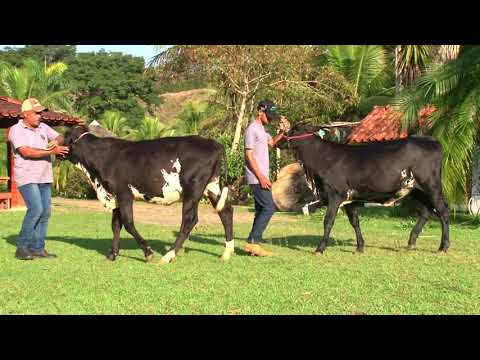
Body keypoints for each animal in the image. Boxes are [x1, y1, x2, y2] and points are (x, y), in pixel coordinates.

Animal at [62, 125, 235, 262]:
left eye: (64, 136)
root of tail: (214, 143)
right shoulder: (115, 196)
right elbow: (116, 225)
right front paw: (112, 255)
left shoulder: (124, 194)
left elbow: (128, 223)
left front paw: (148, 252)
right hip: (211, 186)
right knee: (226, 211)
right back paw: (226, 253)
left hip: (193, 189)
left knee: (189, 219)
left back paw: (168, 255)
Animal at [278, 122, 450, 255]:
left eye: (294, 130)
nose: (279, 142)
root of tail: (431, 140)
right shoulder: (350, 199)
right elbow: (355, 222)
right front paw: (360, 247)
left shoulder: (335, 194)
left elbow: (328, 221)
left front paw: (320, 248)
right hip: (415, 189)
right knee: (426, 211)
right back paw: (411, 242)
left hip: (431, 185)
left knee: (443, 211)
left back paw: (443, 246)